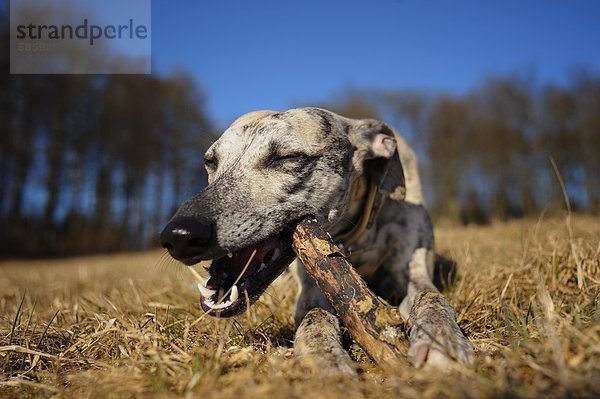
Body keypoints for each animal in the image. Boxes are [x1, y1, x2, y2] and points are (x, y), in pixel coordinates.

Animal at [158, 108, 474, 370]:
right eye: (210, 161)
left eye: (287, 157)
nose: (179, 235)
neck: (355, 237)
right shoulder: (313, 289)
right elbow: (315, 315)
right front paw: (325, 357)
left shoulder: (414, 268)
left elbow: (431, 295)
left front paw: (440, 339)